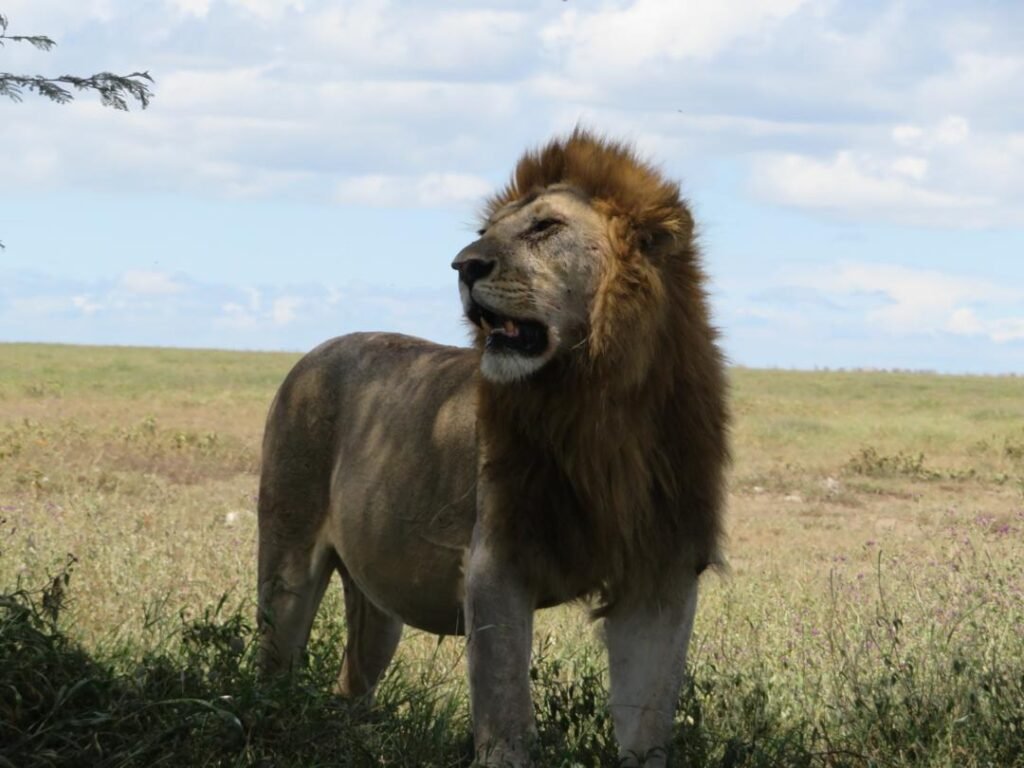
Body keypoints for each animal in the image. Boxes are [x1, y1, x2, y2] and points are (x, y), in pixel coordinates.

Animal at [256, 129, 729, 767]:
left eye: (545, 227)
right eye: (485, 230)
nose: (463, 264)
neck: (597, 403)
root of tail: (314, 351)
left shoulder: (660, 570)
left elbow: (647, 723)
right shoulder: (497, 560)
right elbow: (505, 708)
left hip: (377, 600)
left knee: (351, 683)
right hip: (286, 558)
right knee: (271, 667)